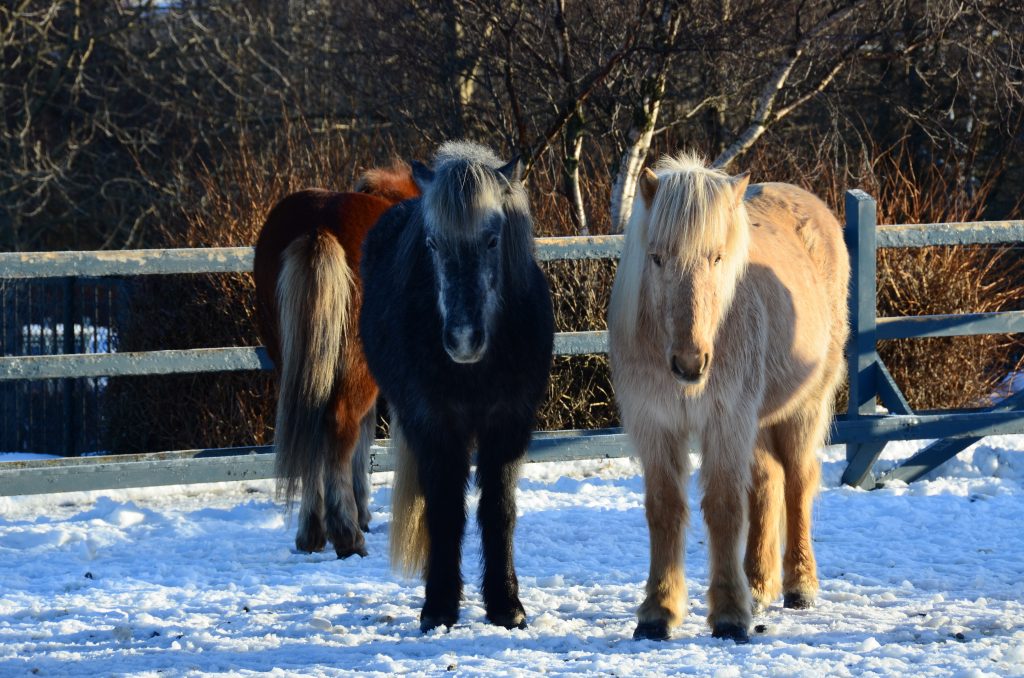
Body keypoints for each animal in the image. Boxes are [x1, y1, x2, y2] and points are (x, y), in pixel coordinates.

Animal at [360, 140, 552, 634]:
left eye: (492, 239)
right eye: (432, 243)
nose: (464, 339)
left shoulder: (508, 425)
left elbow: (498, 510)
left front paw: (506, 605)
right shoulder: (435, 426)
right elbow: (445, 511)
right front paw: (440, 605)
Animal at [606, 152, 847, 643]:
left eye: (717, 257)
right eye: (656, 257)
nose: (689, 362)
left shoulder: (725, 421)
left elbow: (724, 508)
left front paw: (731, 615)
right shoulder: (655, 424)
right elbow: (665, 508)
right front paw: (658, 611)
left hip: (801, 410)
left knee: (798, 482)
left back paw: (799, 585)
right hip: (757, 422)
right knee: (770, 481)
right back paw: (757, 585)